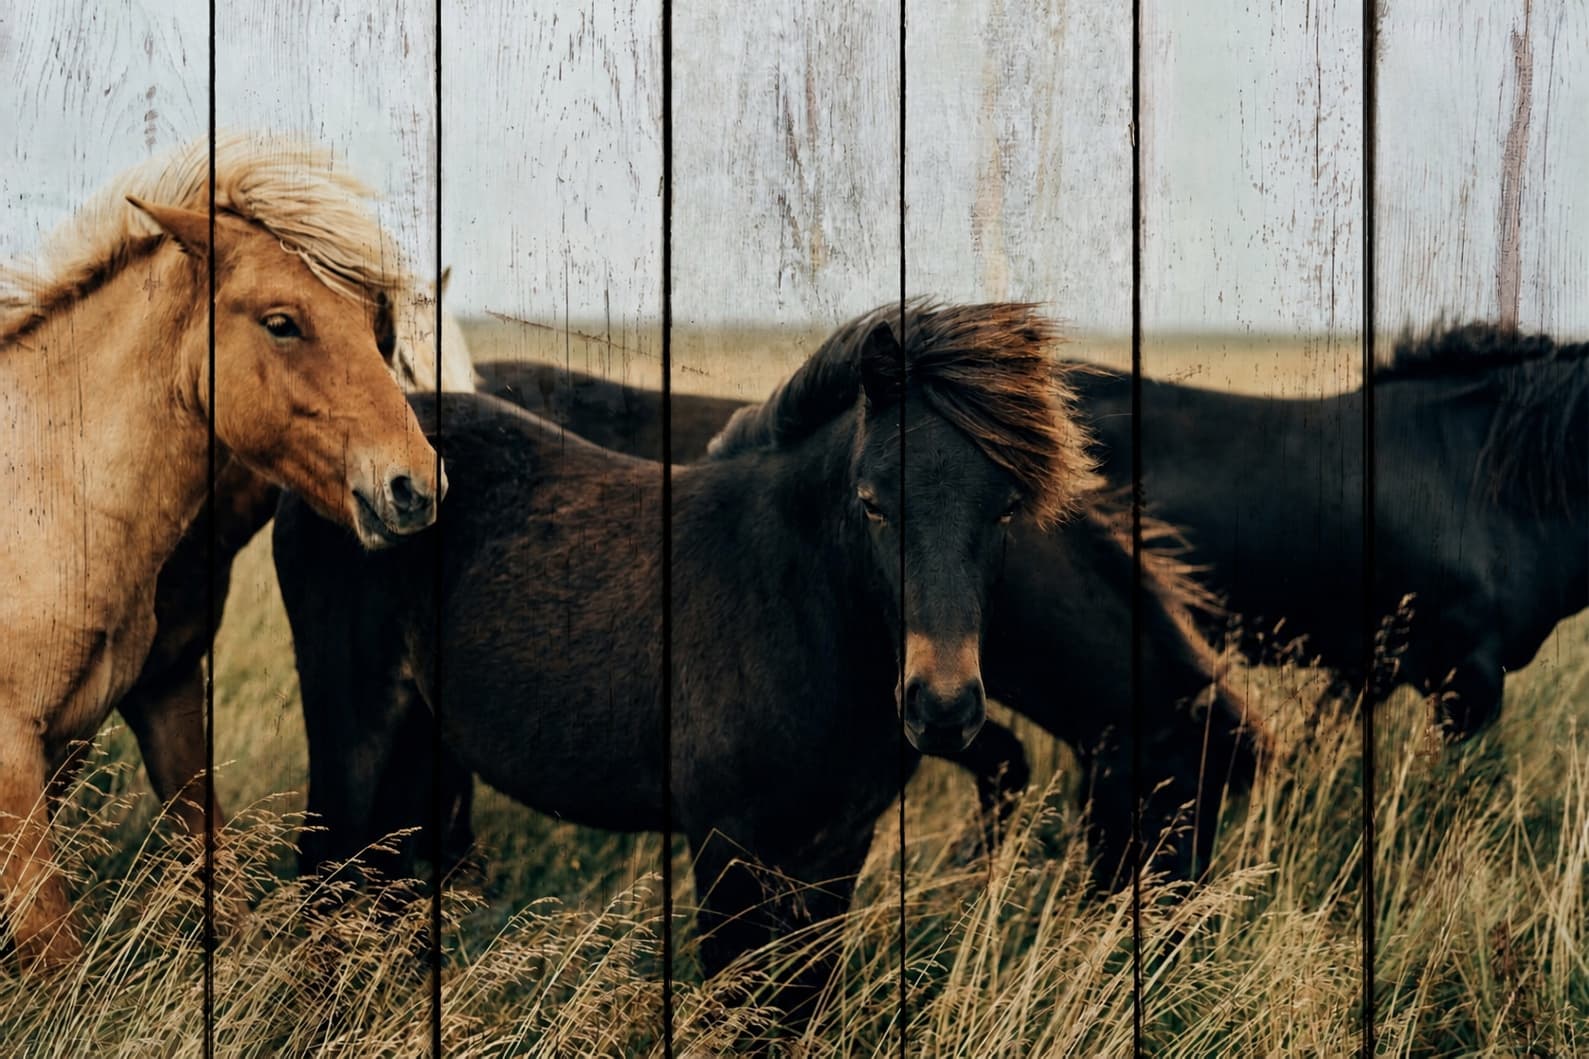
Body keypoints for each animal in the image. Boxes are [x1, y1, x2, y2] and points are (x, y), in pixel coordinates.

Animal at [0, 132, 444, 968]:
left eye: (376, 329)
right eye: (281, 322)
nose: (416, 486)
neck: (46, 492)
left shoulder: (150, 703)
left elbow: (218, 877)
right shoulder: (15, 748)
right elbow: (53, 944)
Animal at [274, 302, 1100, 1019]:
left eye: (1006, 508)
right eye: (870, 502)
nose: (942, 708)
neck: (797, 607)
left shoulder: (838, 845)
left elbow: (799, 1003)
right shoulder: (724, 843)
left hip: (420, 737)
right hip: (354, 726)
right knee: (326, 874)